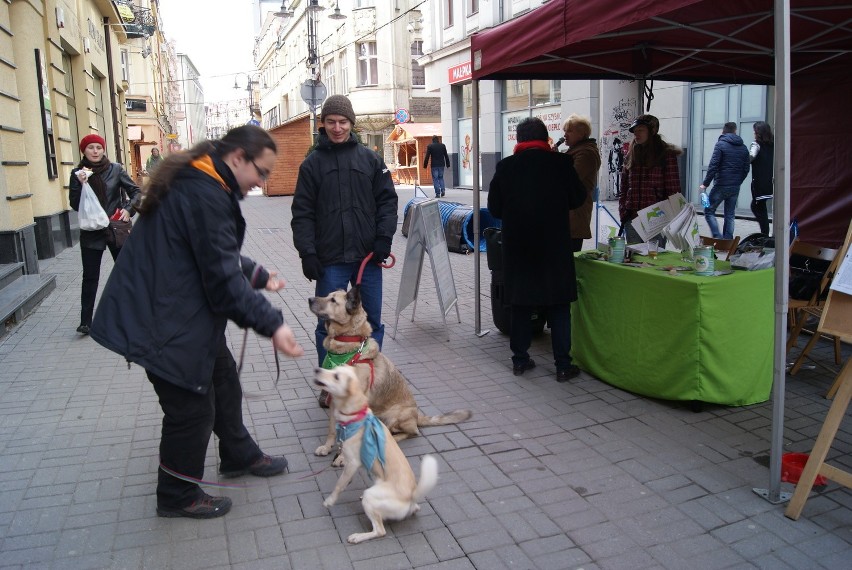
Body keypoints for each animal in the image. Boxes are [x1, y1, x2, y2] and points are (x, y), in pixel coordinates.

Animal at [308, 284, 470, 458]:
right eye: (327, 295)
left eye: (333, 300)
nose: (309, 299)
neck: (347, 349)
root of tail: (417, 416)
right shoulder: (334, 402)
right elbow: (332, 429)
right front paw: (327, 447)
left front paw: (341, 458)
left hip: (395, 416)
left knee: (411, 432)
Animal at [316, 364, 442, 540]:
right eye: (333, 369)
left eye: (336, 376)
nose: (316, 370)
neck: (356, 415)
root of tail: (411, 497)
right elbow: (344, 481)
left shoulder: (352, 462)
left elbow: (339, 485)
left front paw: (330, 500)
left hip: (371, 499)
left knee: (380, 531)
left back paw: (357, 537)